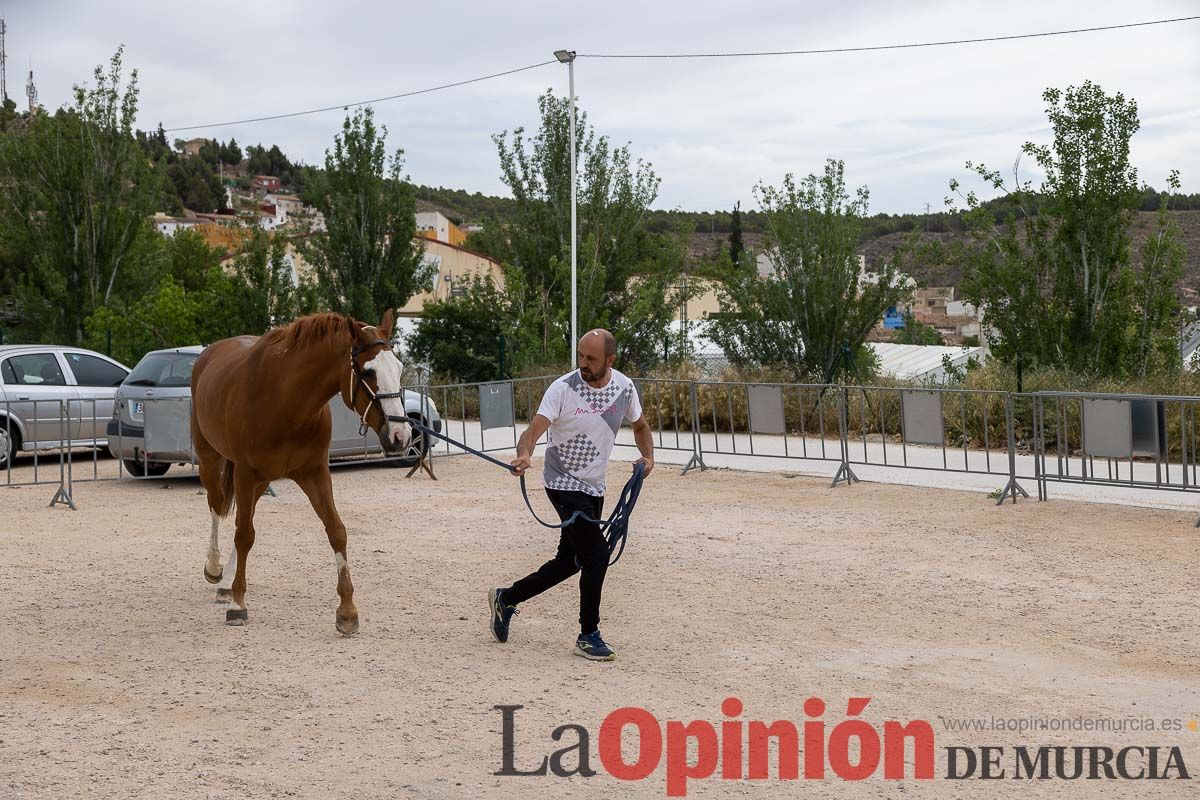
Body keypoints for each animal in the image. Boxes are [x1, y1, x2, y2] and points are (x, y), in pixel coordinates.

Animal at [188, 309, 412, 633]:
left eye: (399, 368)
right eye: (369, 372)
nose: (401, 435)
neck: (286, 402)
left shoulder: (315, 473)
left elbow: (336, 531)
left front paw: (347, 611)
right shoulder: (245, 472)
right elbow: (244, 535)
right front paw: (238, 605)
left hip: (261, 480)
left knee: (244, 514)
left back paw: (227, 579)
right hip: (210, 457)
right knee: (218, 505)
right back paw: (216, 570)